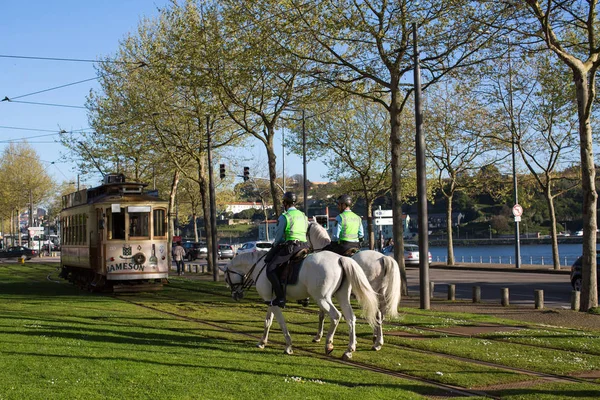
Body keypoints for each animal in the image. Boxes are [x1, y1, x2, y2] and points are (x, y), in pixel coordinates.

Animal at [223, 250, 378, 360]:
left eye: (226, 278)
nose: (235, 295)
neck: (260, 266)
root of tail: (340, 258)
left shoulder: (274, 303)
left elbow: (281, 323)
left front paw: (288, 346)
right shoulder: (270, 301)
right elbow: (268, 321)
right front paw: (262, 342)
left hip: (322, 298)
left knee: (335, 315)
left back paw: (329, 344)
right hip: (342, 297)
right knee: (350, 318)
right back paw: (349, 350)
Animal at [308, 222, 400, 350]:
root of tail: (383, 257)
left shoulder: (324, 295)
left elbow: (322, 314)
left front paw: (318, 336)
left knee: (377, 314)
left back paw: (377, 343)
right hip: (380, 293)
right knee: (380, 315)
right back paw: (376, 338)